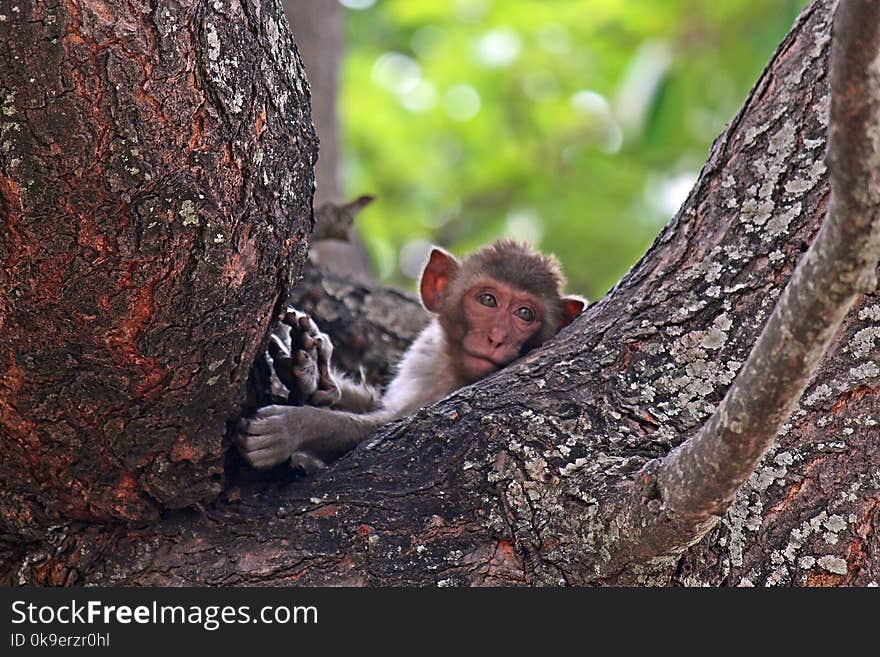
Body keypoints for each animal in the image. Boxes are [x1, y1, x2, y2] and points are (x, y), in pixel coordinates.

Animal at [237, 240, 588, 472]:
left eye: (525, 314)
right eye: (488, 300)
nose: (497, 338)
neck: (452, 368)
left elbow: (391, 425)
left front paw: (293, 427)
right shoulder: (426, 355)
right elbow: (384, 406)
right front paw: (312, 374)